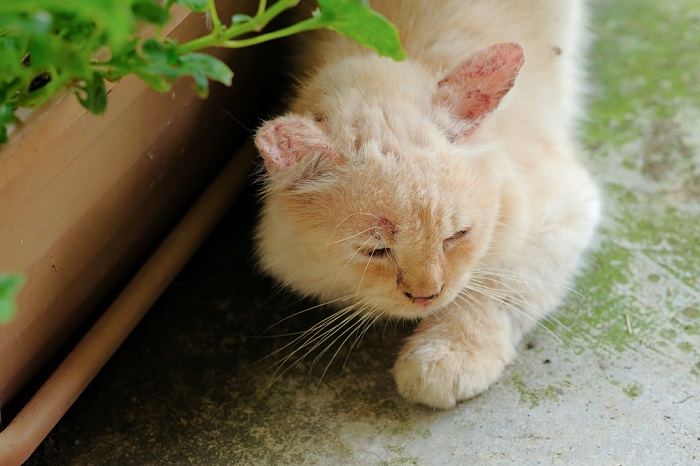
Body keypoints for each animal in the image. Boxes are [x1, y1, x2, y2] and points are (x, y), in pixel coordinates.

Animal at [254, 0, 600, 408]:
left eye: (457, 235)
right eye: (376, 251)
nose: (426, 296)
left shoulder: (564, 205)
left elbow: (495, 287)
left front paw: (446, 357)